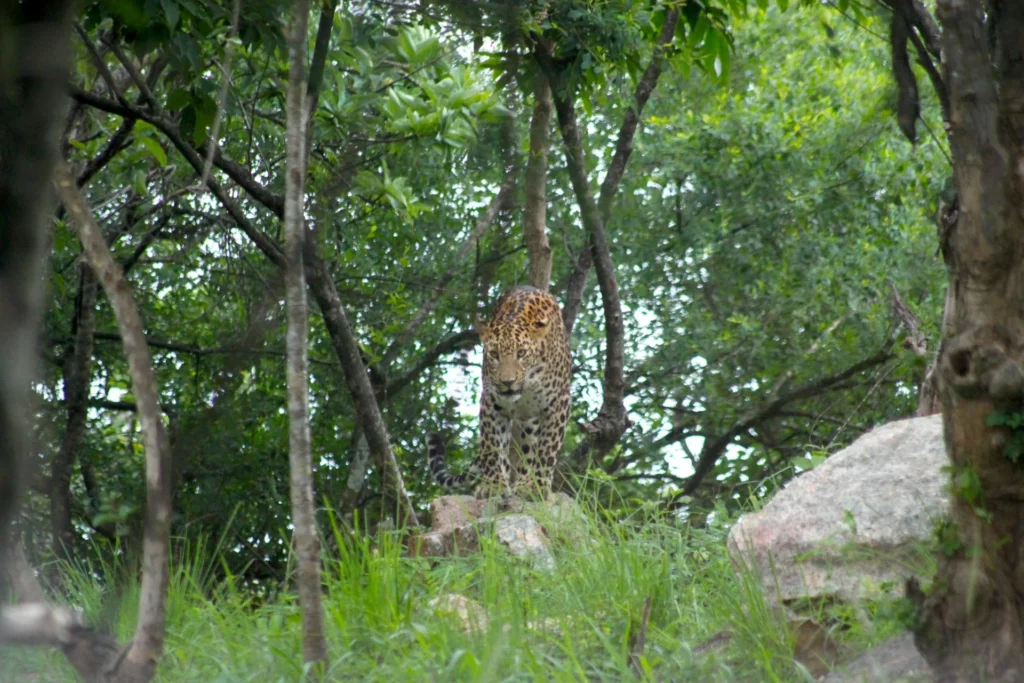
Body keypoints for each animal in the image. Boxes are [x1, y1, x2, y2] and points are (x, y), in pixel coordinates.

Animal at [428, 286, 573, 499]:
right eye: (494, 354)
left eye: (521, 353)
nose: (508, 382)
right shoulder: (490, 402)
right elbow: (492, 446)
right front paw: (493, 485)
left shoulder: (558, 402)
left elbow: (547, 449)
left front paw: (535, 485)